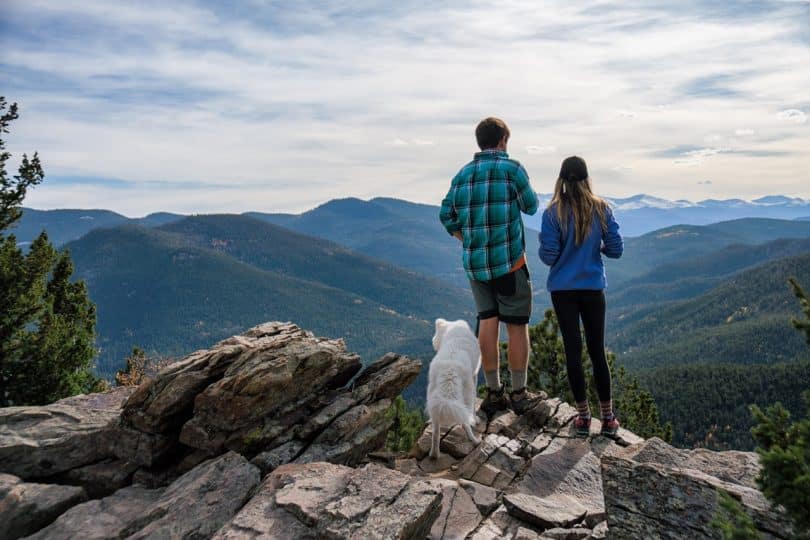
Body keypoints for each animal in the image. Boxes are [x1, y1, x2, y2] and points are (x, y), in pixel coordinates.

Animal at [422, 318, 480, 458]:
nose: (433, 341)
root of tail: (450, 369)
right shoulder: (474, 376)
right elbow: (474, 404)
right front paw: (476, 420)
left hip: (432, 392)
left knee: (436, 431)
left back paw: (434, 454)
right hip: (466, 393)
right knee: (465, 418)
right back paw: (474, 440)